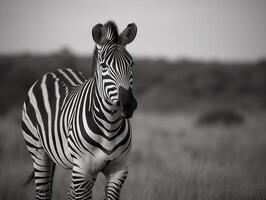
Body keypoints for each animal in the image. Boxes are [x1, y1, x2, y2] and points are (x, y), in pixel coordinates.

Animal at [21, 21, 138, 199]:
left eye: (131, 64)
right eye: (104, 66)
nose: (128, 105)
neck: (109, 126)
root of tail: (55, 71)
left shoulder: (118, 170)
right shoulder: (83, 170)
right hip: (39, 153)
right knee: (42, 192)